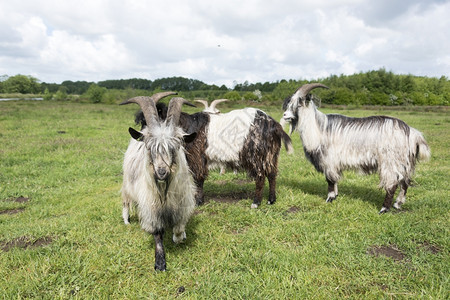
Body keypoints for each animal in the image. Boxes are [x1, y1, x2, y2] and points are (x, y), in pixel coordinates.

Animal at [120, 92, 196, 270]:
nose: (161, 172)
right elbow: (157, 234)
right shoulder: (151, 207)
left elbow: (179, 227)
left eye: (175, 147)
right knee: (126, 201)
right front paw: (160, 263)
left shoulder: (182, 202)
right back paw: (126, 220)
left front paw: (179, 236)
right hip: (127, 183)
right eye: (150, 148)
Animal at [284, 82, 430, 213]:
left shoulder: (329, 160)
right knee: (405, 183)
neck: (319, 128)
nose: (285, 115)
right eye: (289, 103)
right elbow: (335, 180)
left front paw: (329, 199)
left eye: (299, 104)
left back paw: (384, 209)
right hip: (405, 163)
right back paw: (397, 204)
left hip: (390, 161)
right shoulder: (334, 163)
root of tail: (412, 133)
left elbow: (330, 180)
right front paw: (335, 196)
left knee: (392, 184)